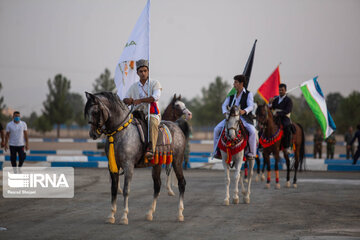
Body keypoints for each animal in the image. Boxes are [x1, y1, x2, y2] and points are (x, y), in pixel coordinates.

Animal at [84, 92, 188, 225]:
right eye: (88, 111)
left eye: (96, 112)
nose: (93, 134)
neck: (121, 132)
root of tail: (177, 127)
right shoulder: (112, 166)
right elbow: (113, 189)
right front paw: (111, 215)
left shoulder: (128, 166)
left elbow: (126, 190)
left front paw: (124, 217)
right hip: (157, 164)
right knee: (157, 185)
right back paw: (150, 213)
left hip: (177, 161)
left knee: (181, 183)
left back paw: (180, 214)